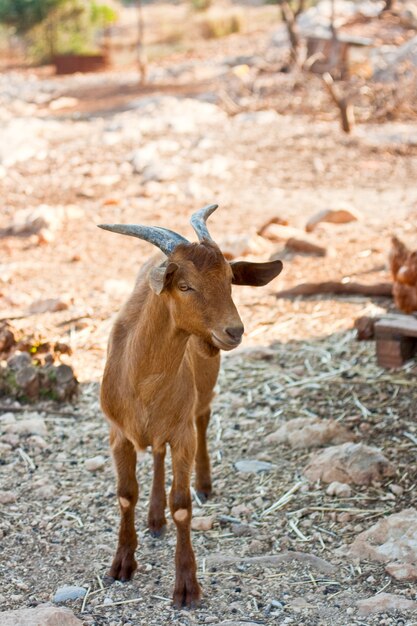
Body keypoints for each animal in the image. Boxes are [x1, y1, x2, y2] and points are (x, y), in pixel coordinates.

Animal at [98, 205, 282, 604]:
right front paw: (122, 565)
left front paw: (186, 587)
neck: (140, 380)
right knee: (156, 452)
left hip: (202, 395)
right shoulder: (118, 433)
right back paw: (154, 519)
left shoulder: (182, 433)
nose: (233, 331)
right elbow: (125, 495)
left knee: (202, 421)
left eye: (230, 280)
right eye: (184, 286)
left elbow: (181, 504)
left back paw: (204, 484)